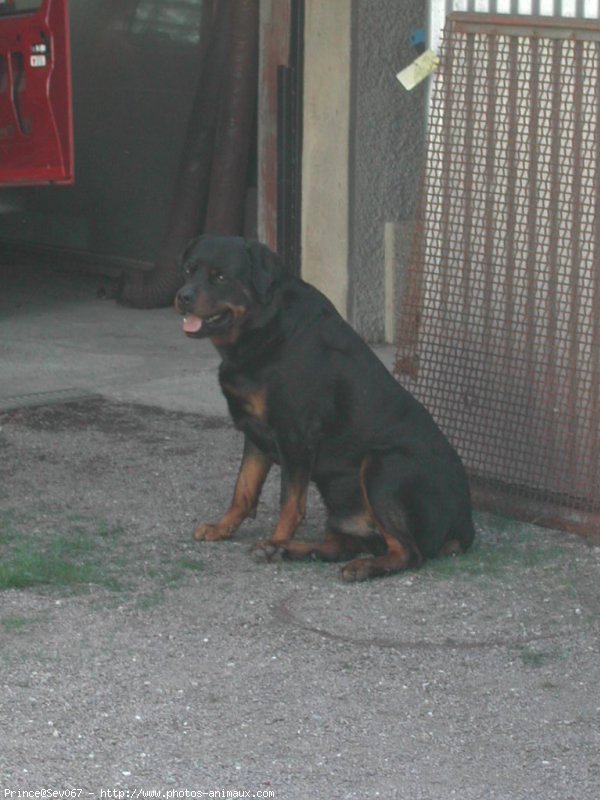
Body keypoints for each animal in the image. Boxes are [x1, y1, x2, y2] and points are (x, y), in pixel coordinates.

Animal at [176, 234, 476, 580]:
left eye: (220, 276)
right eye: (189, 270)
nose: (182, 296)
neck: (264, 327)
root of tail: (465, 526)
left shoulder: (294, 436)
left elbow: (289, 503)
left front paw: (275, 537)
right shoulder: (255, 433)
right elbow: (243, 489)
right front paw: (223, 528)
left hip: (383, 466)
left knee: (408, 552)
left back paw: (355, 566)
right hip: (342, 501)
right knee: (341, 545)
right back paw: (289, 551)